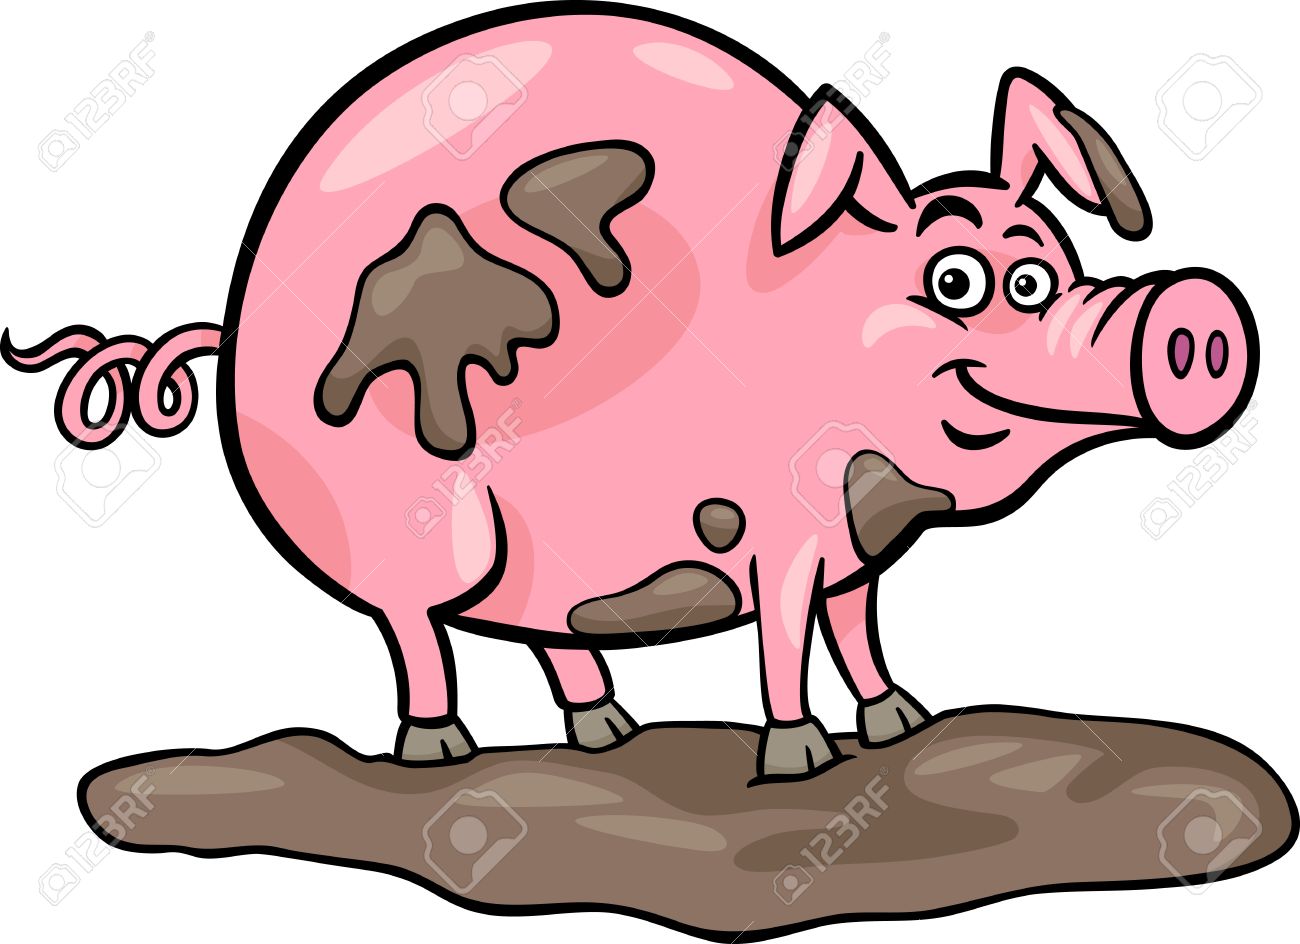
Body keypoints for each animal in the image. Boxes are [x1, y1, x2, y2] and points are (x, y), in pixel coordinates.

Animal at [3, 7, 1257, 779]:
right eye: (960, 281)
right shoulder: (777, 523)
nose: (1197, 313)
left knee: (542, 629)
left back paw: (607, 732)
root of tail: (232, 316)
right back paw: (441, 750)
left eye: (1050, 259)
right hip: (423, 531)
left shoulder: (856, 543)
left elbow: (855, 624)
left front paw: (903, 719)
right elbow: (784, 635)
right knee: (414, 626)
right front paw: (799, 759)